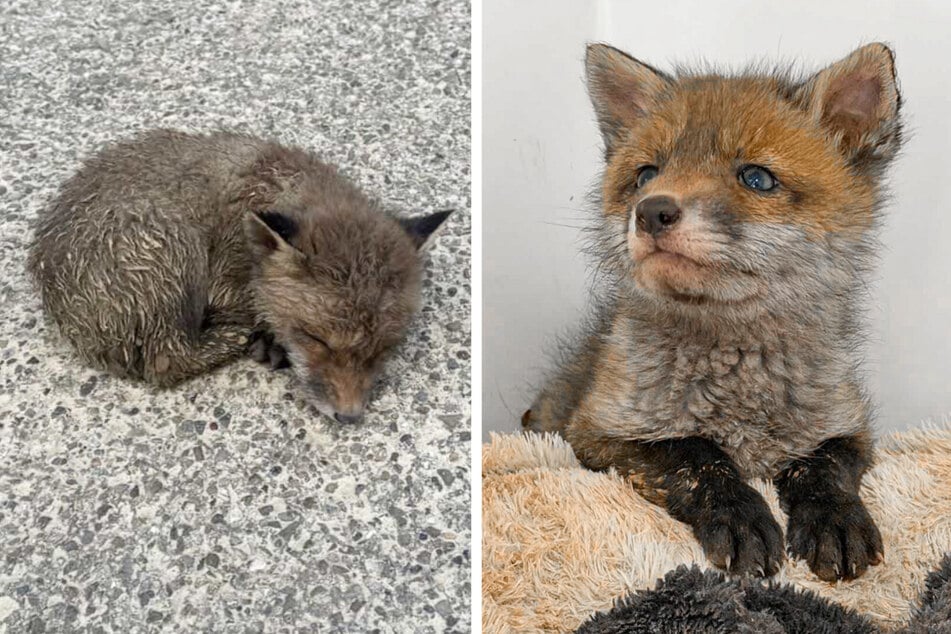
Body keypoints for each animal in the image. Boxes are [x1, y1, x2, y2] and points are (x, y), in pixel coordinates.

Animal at [28, 129, 452, 423]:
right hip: (175, 247)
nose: (348, 417)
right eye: (316, 339)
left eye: (384, 348)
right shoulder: (222, 280)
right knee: (166, 361)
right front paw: (266, 336)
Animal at [522, 43, 903, 581]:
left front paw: (834, 518)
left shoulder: (849, 427)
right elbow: (697, 457)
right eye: (646, 175)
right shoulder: (597, 432)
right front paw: (741, 517)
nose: (651, 211)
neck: (739, 387)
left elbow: (822, 467)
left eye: (757, 177)